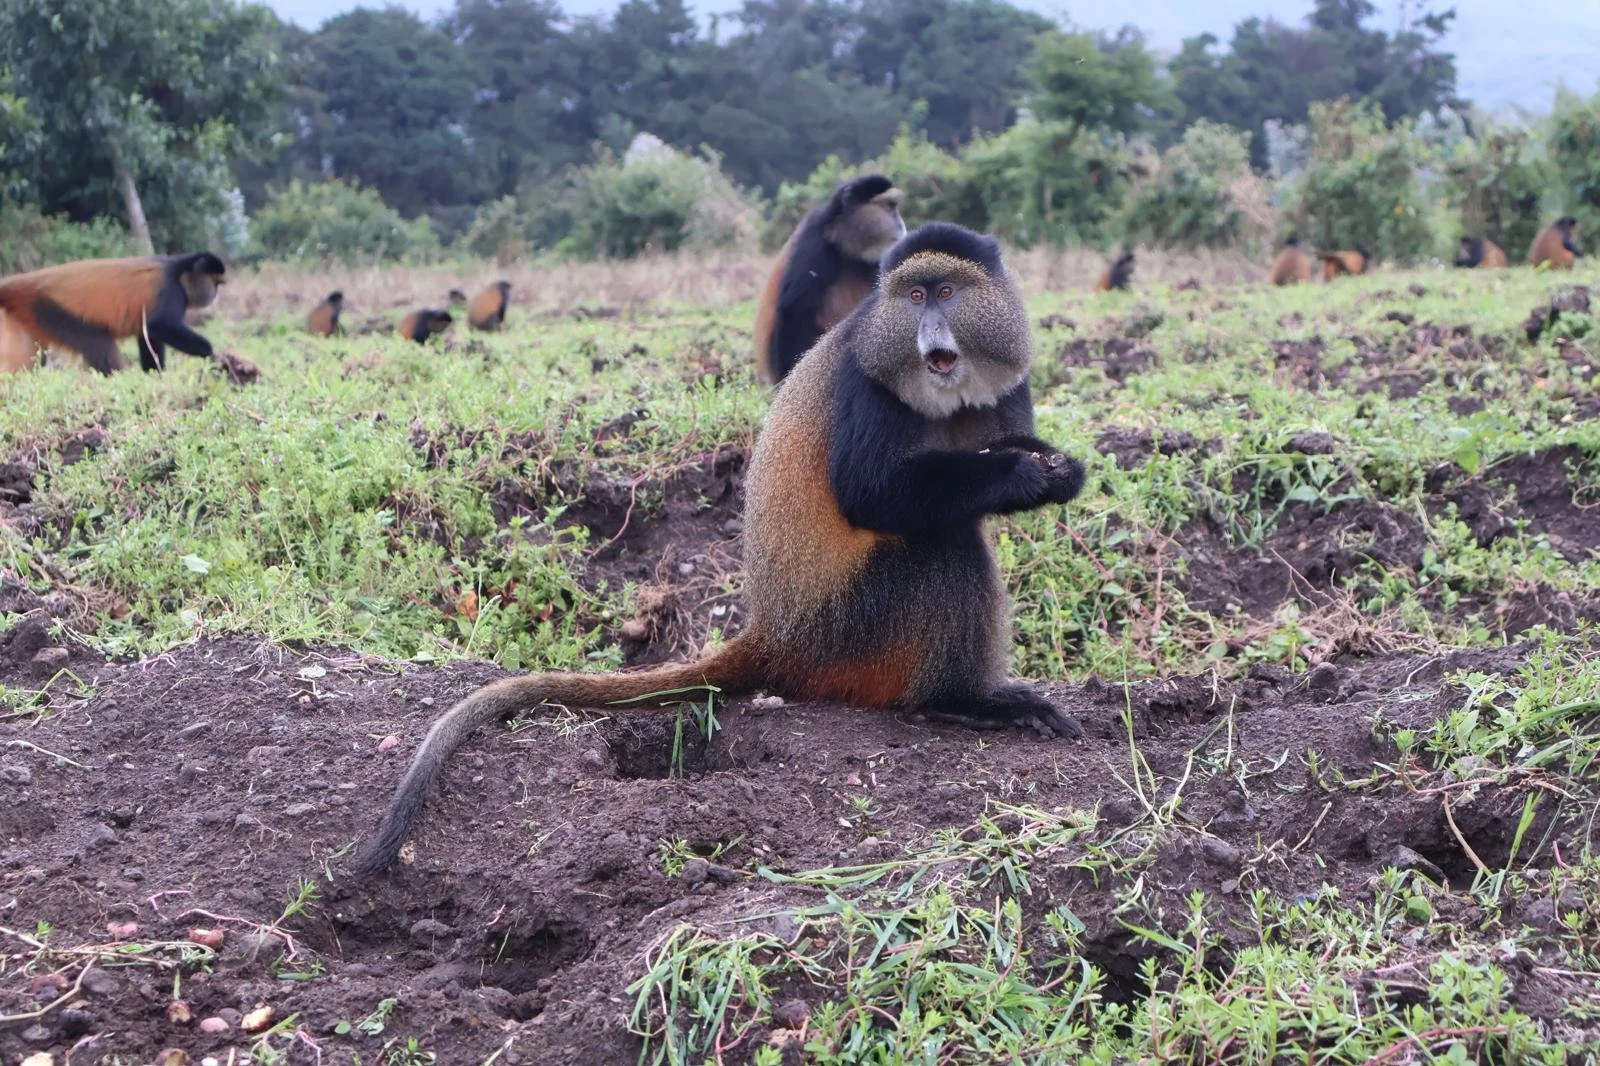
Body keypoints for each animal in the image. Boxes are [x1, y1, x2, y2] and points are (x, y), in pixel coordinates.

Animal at [0, 252, 226, 375]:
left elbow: (148, 333)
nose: (216, 294)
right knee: (99, 344)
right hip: (52, 311)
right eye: (214, 283)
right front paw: (210, 352)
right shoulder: (172, 290)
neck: (178, 269)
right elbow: (158, 325)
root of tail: (26, 282)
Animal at [351, 221, 1087, 875]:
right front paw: (1017, 476)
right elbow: (871, 495)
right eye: (913, 296)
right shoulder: (866, 378)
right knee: (944, 544)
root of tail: (775, 636)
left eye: (947, 292)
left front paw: (1060, 470)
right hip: (854, 630)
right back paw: (961, 701)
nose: (930, 331)